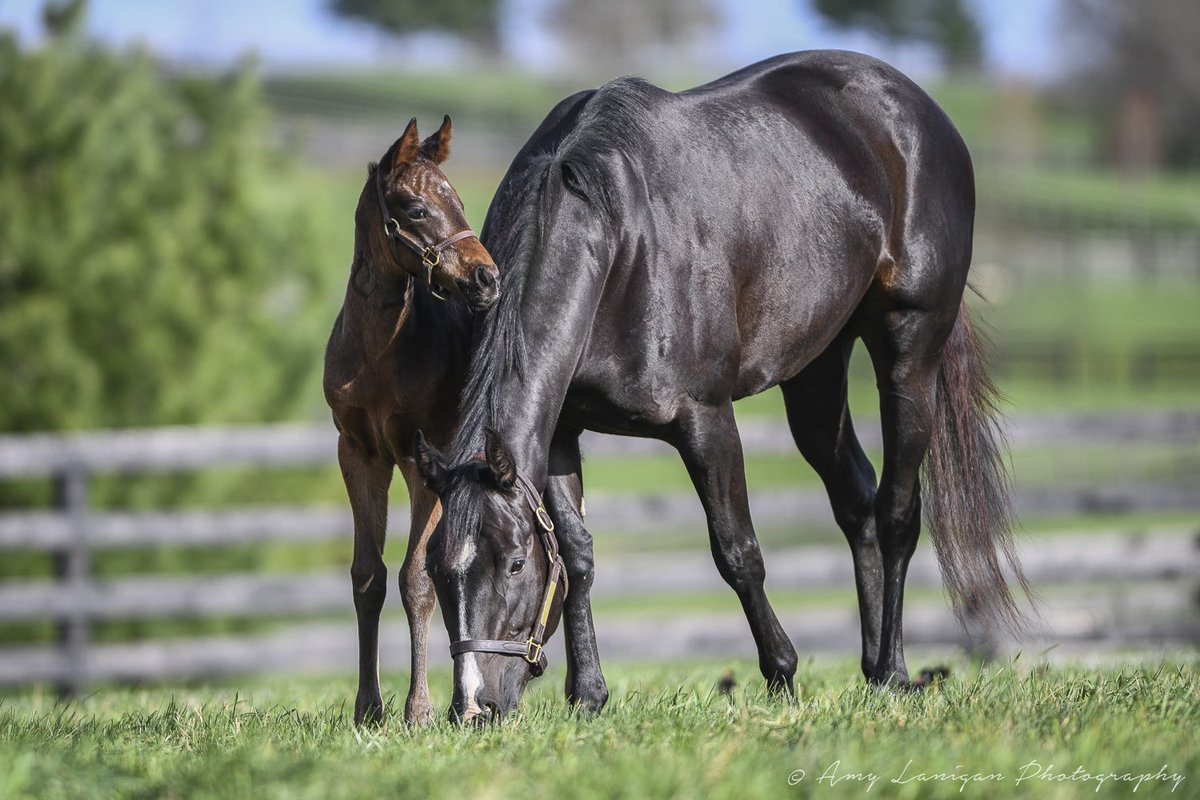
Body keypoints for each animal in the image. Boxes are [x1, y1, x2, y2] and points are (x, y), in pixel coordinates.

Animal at [323, 116, 500, 726]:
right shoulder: (358, 454)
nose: (487, 278)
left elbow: (417, 578)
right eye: (417, 208)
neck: (379, 355)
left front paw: (418, 709)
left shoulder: (428, 457)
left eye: (461, 201)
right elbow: (369, 576)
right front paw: (367, 708)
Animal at [414, 51, 1028, 724]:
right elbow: (577, 555)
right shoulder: (559, 432)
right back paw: (870, 670)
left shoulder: (706, 421)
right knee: (856, 499)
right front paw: (589, 695)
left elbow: (737, 551)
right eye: (440, 572)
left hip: (910, 347)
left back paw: (893, 670)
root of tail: (917, 107)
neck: (616, 235)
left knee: (897, 508)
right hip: (816, 370)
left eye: (515, 563)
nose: (472, 708)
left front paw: (782, 673)